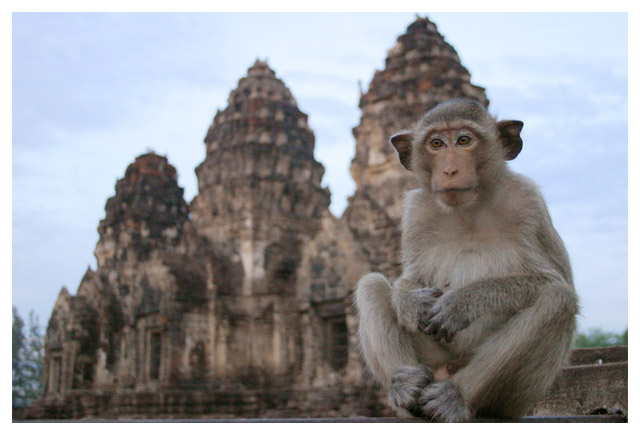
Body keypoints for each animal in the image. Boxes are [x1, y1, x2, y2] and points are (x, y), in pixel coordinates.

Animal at [356, 98, 580, 422]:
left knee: (558, 298)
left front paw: (463, 302)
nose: (450, 170)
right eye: (436, 143)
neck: (468, 211)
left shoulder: (528, 202)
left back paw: (454, 398)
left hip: (517, 397)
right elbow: (411, 276)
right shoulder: (417, 212)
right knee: (371, 284)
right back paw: (406, 386)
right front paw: (410, 300)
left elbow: (554, 279)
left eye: (464, 141)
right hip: (433, 359)